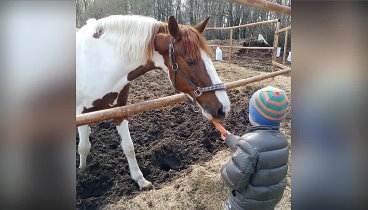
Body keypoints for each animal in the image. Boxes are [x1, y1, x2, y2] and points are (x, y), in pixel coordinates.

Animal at [76, 14, 230, 189]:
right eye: (190, 61)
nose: (223, 108)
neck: (99, 63)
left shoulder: (119, 109)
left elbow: (128, 147)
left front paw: (140, 179)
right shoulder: (81, 113)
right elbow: (84, 147)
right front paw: (83, 174)